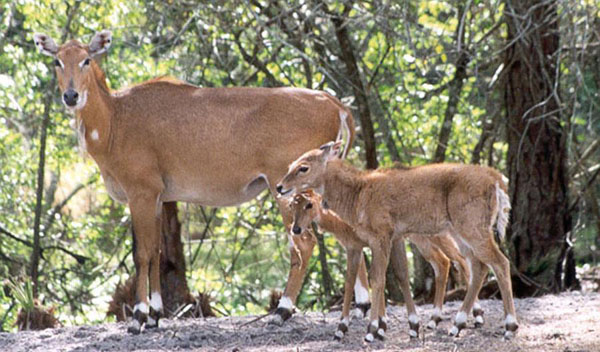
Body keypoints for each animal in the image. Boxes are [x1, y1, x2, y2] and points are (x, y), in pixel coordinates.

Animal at [34, 29, 366, 332]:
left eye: (86, 59)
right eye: (57, 61)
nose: (71, 96)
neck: (116, 119)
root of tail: (335, 104)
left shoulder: (141, 193)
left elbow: (141, 254)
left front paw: (139, 317)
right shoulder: (158, 198)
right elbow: (157, 252)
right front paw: (155, 315)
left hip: (286, 187)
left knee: (304, 243)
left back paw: (282, 311)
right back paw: (361, 306)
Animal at [290, 191, 474, 340]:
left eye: (309, 204)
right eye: (292, 205)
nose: (296, 229)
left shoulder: (379, 242)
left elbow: (393, 275)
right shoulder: (356, 246)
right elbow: (362, 280)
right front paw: (377, 326)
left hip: (436, 235)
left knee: (461, 260)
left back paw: (470, 317)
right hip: (423, 239)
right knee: (443, 262)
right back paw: (436, 319)